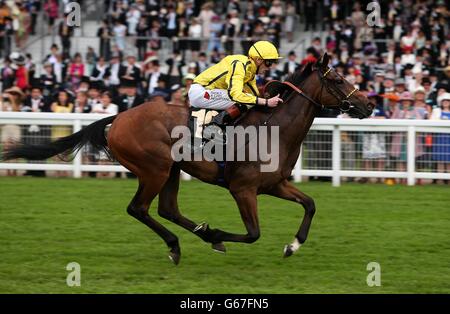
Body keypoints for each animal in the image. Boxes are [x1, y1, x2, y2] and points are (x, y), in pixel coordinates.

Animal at [2, 52, 372, 264]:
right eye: (338, 79)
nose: (368, 105)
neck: (274, 127)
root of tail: (120, 117)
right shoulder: (243, 189)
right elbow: (253, 233)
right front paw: (220, 234)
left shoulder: (274, 184)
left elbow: (310, 204)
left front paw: (292, 246)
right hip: (154, 168)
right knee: (139, 208)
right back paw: (180, 244)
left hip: (171, 170)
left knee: (167, 209)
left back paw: (197, 236)